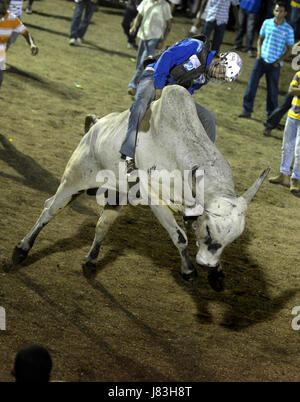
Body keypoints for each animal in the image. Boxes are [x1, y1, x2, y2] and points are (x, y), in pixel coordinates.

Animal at [11, 86, 270, 290]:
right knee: (50, 208)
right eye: (207, 227)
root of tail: (96, 126)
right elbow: (180, 237)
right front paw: (189, 271)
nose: (207, 263)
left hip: (117, 194)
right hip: (75, 178)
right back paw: (22, 249)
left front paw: (217, 274)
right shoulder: (155, 198)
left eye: (235, 237)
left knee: (102, 224)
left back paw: (91, 261)